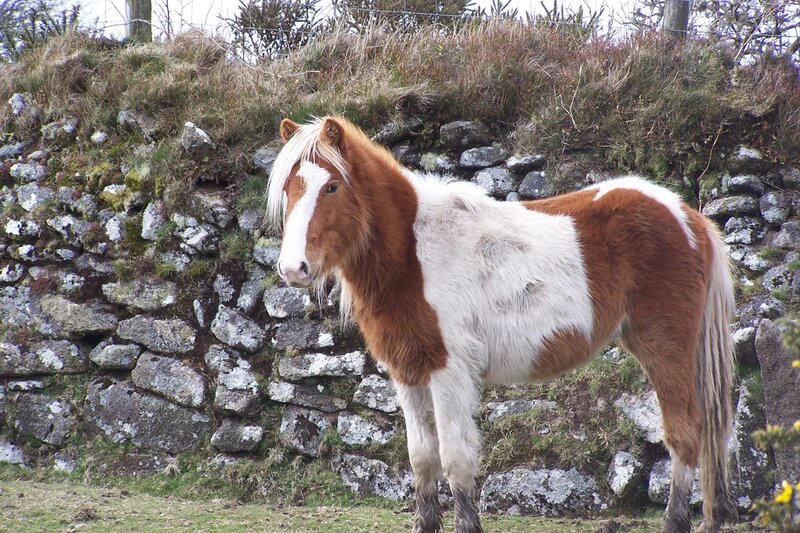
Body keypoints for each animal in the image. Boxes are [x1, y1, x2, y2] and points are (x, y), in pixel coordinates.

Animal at [266, 115, 738, 533]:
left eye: (331, 186)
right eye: (289, 189)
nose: (293, 268)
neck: (413, 255)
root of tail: (688, 217)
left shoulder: (448, 370)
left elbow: (455, 457)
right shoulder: (407, 371)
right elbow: (422, 457)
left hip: (666, 349)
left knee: (685, 435)